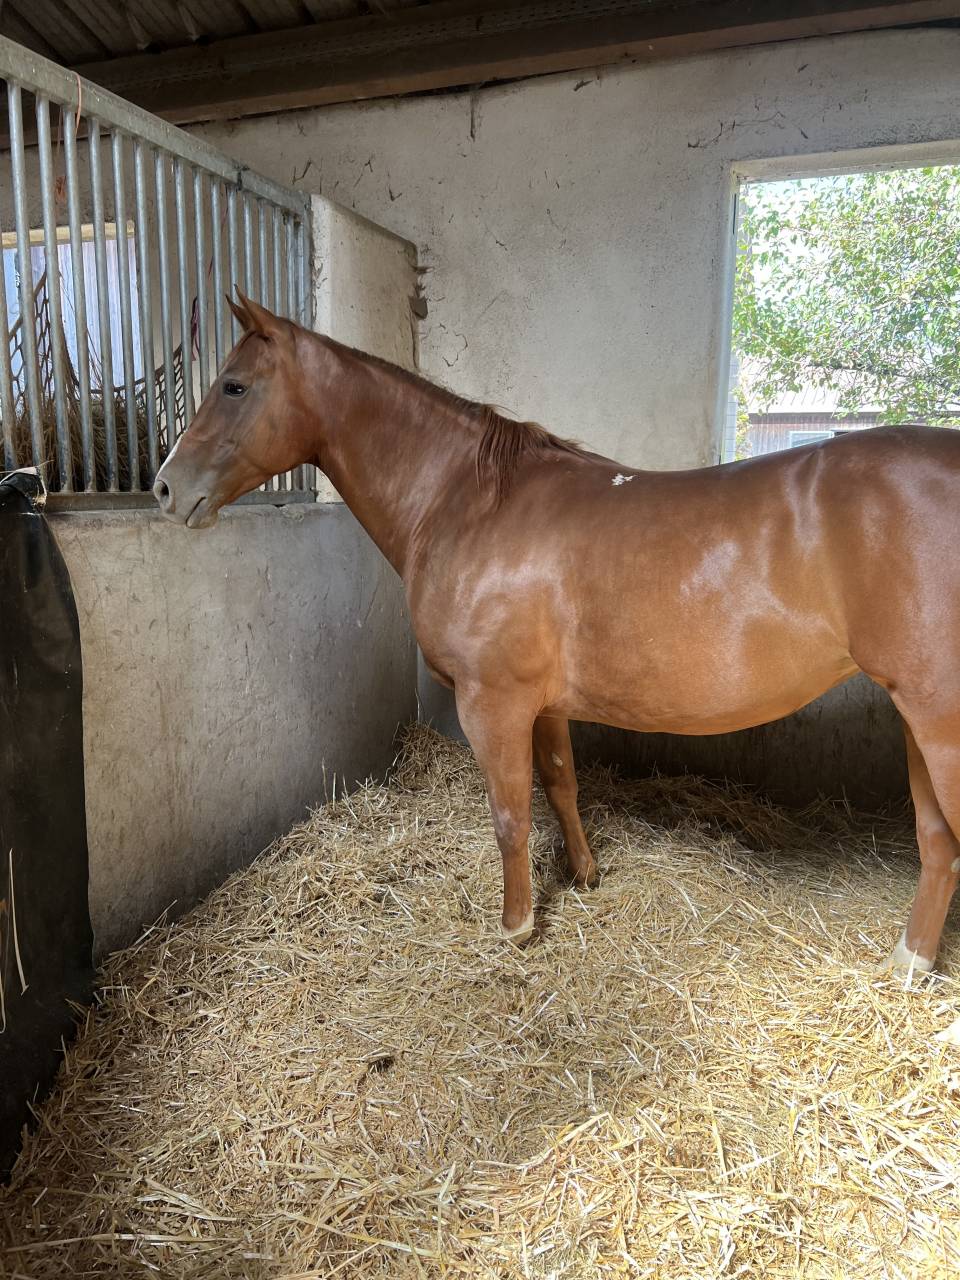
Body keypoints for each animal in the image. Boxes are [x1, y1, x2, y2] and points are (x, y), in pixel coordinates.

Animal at [154, 291, 960, 975]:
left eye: (233, 386)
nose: (165, 488)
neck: (470, 503)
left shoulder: (493, 702)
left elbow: (511, 814)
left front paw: (516, 926)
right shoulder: (544, 704)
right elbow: (562, 785)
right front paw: (585, 875)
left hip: (938, 719)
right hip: (916, 716)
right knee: (938, 843)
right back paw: (910, 962)